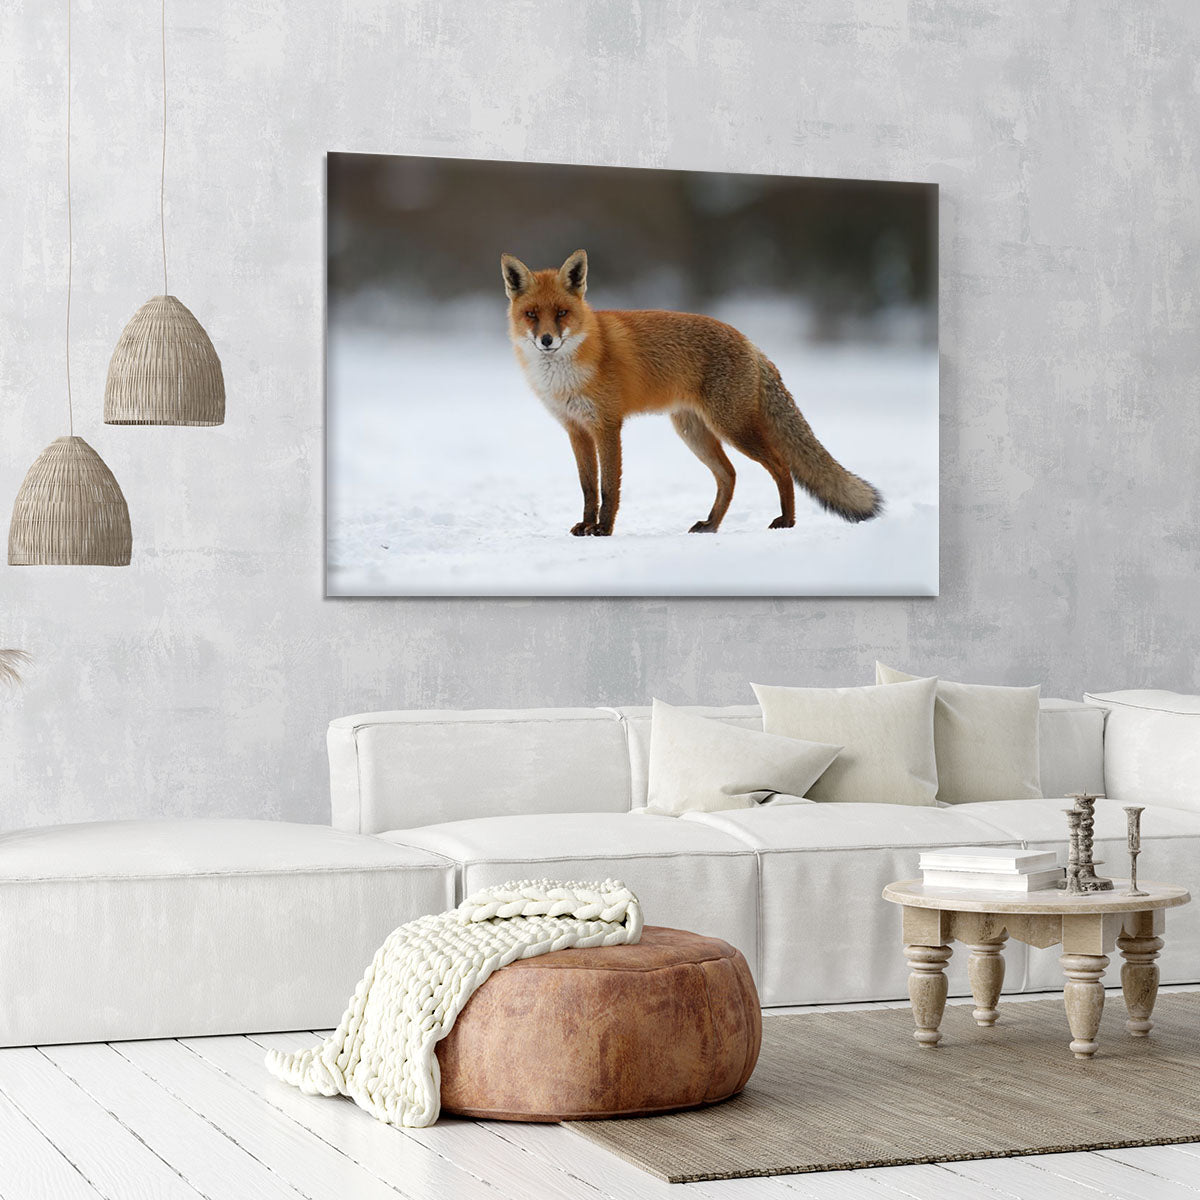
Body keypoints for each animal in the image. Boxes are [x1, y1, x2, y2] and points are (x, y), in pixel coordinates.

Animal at [500, 249, 883, 537]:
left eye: (562, 313)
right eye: (531, 314)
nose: (546, 340)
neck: (565, 376)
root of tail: (750, 343)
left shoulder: (607, 426)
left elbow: (609, 488)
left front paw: (603, 530)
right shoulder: (576, 429)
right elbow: (588, 488)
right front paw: (586, 525)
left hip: (733, 428)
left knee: (780, 465)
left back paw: (786, 521)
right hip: (693, 432)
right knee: (729, 475)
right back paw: (711, 524)